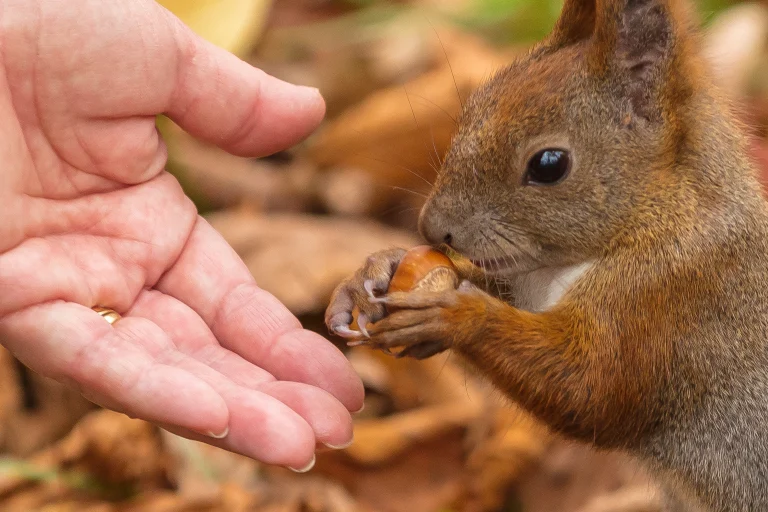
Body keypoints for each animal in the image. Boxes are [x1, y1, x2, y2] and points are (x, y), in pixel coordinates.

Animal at [325, 0, 768, 510]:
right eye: (477, 102)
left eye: (549, 165)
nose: (433, 228)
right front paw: (375, 273)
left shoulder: (669, 297)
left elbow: (589, 389)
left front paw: (455, 316)